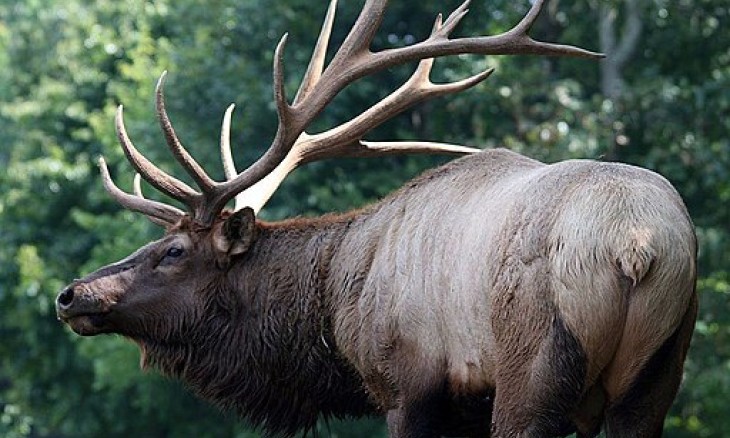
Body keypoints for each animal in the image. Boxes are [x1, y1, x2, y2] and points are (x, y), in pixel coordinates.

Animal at [55, 1, 692, 436]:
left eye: (174, 251)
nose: (71, 294)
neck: (336, 299)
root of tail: (636, 244)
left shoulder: (407, 385)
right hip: (658, 372)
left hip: (536, 362)